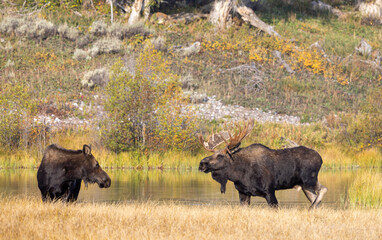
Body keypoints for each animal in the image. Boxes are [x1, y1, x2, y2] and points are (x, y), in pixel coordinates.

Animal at [198, 120, 326, 210]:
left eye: (220, 156)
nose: (201, 164)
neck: (238, 175)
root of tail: (320, 158)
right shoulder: (243, 193)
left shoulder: (269, 191)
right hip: (305, 186)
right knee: (315, 198)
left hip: (309, 180)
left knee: (323, 190)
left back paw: (310, 208)